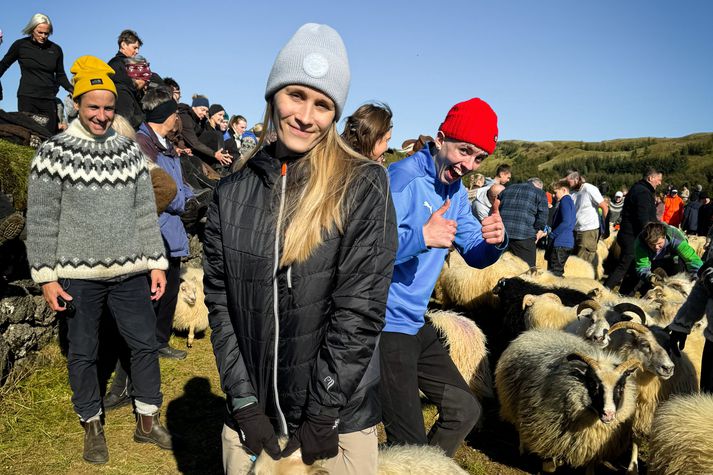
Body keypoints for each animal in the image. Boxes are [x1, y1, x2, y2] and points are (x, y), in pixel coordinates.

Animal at [496, 330, 640, 474]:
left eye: (621, 387)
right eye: (593, 384)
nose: (608, 414)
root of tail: (537, 331)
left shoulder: (592, 448)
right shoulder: (548, 437)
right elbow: (550, 466)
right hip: (512, 400)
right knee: (519, 425)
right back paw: (522, 449)